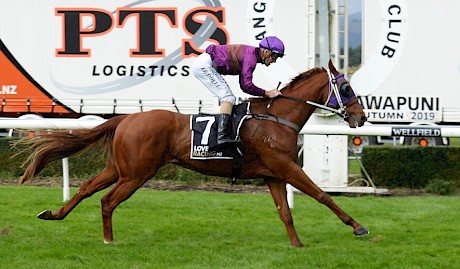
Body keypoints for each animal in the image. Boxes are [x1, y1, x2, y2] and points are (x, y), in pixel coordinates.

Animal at [18, 59, 370, 246]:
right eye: (347, 88)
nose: (361, 117)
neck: (275, 118)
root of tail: (126, 118)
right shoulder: (286, 168)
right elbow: (322, 195)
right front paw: (358, 227)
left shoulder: (273, 175)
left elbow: (285, 211)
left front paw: (296, 245)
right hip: (137, 173)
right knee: (107, 200)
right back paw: (108, 239)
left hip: (119, 168)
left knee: (87, 188)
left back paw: (54, 214)